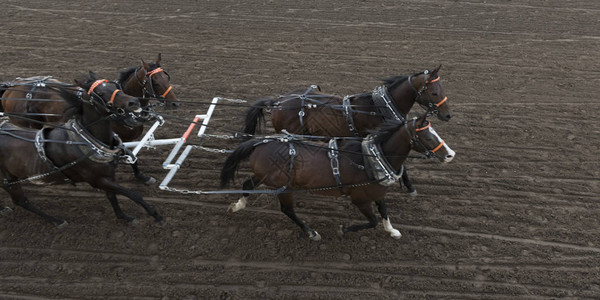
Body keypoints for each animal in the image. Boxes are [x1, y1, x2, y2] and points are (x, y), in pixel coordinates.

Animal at [0, 71, 163, 226]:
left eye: (114, 86)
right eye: (100, 94)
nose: (133, 102)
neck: (89, 140)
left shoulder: (108, 174)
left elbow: (113, 193)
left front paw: (124, 216)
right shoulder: (97, 179)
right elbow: (133, 194)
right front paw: (155, 214)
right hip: (8, 180)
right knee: (21, 201)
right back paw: (57, 221)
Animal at [220, 113, 454, 240]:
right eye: (427, 136)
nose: (451, 154)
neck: (371, 159)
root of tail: (260, 142)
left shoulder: (377, 193)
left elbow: (384, 212)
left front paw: (392, 230)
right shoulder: (360, 199)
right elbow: (372, 221)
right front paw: (344, 228)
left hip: (265, 177)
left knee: (247, 183)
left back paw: (237, 205)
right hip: (285, 188)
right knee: (287, 210)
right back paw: (311, 232)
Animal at [241, 66, 452, 195]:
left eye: (442, 88)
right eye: (434, 92)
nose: (448, 115)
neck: (377, 108)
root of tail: (278, 102)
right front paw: (410, 187)